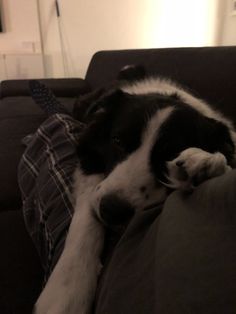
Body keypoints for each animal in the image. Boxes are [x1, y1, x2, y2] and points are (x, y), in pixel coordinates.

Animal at [34, 67, 235, 312]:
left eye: (170, 153)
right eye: (118, 141)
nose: (112, 210)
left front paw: (202, 162)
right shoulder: (88, 156)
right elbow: (86, 219)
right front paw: (69, 287)